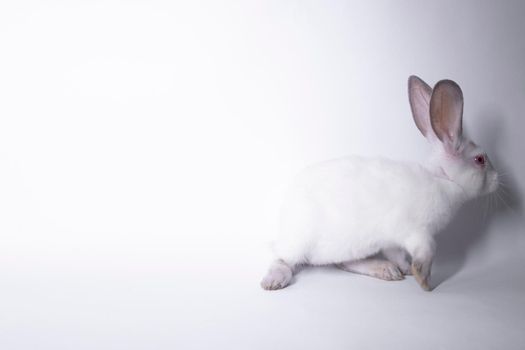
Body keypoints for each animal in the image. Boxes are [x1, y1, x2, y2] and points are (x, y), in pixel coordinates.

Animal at [262, 77, 500, 292]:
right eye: (480, 159)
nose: (498, 179)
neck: (442, 179)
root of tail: (283, 227)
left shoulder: (392, 242)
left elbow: (398, 254)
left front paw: (406, 270)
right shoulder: (416, 232)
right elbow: (427, 251)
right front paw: (424, 282)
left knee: (343, 263)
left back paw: (386, 270)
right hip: (301, 244)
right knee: (282, 259)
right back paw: (273, 281)